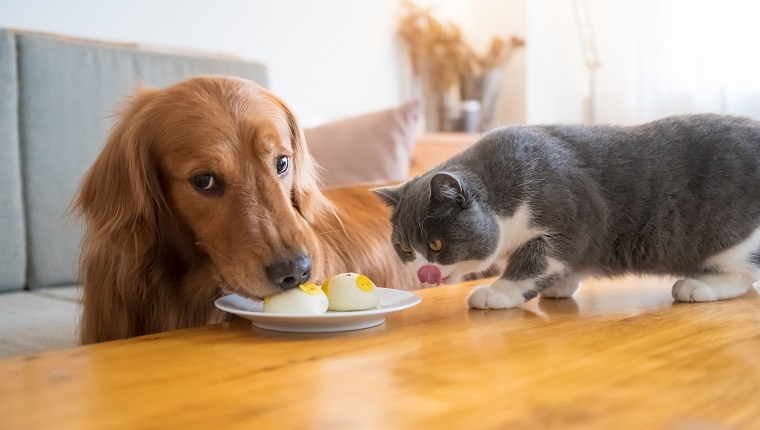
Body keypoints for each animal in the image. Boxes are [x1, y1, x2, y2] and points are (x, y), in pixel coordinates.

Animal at [372, 114, 760, 310]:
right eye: (404, 249)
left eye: (435, 245)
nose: (424, 273)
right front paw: (561, 285)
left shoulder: (568, 221)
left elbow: (535, 260)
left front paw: (498, 292)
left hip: (734, 238)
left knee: (743, 274)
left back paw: (698, 285)